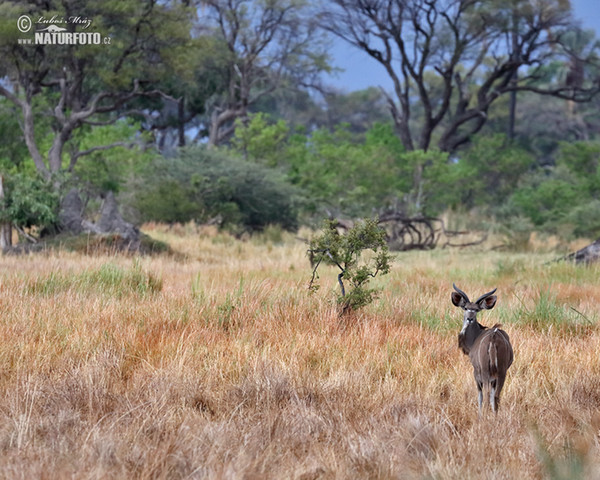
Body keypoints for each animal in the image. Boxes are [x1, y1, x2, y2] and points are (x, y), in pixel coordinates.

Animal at [452, 284, 512, 412]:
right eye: (465, 308)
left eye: (476, 310)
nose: (470, 319)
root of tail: (493, 338)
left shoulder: (476, 373)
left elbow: (480, 397)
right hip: (502, 371)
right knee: (496, 396)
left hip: (485, 371)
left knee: (487, 395)